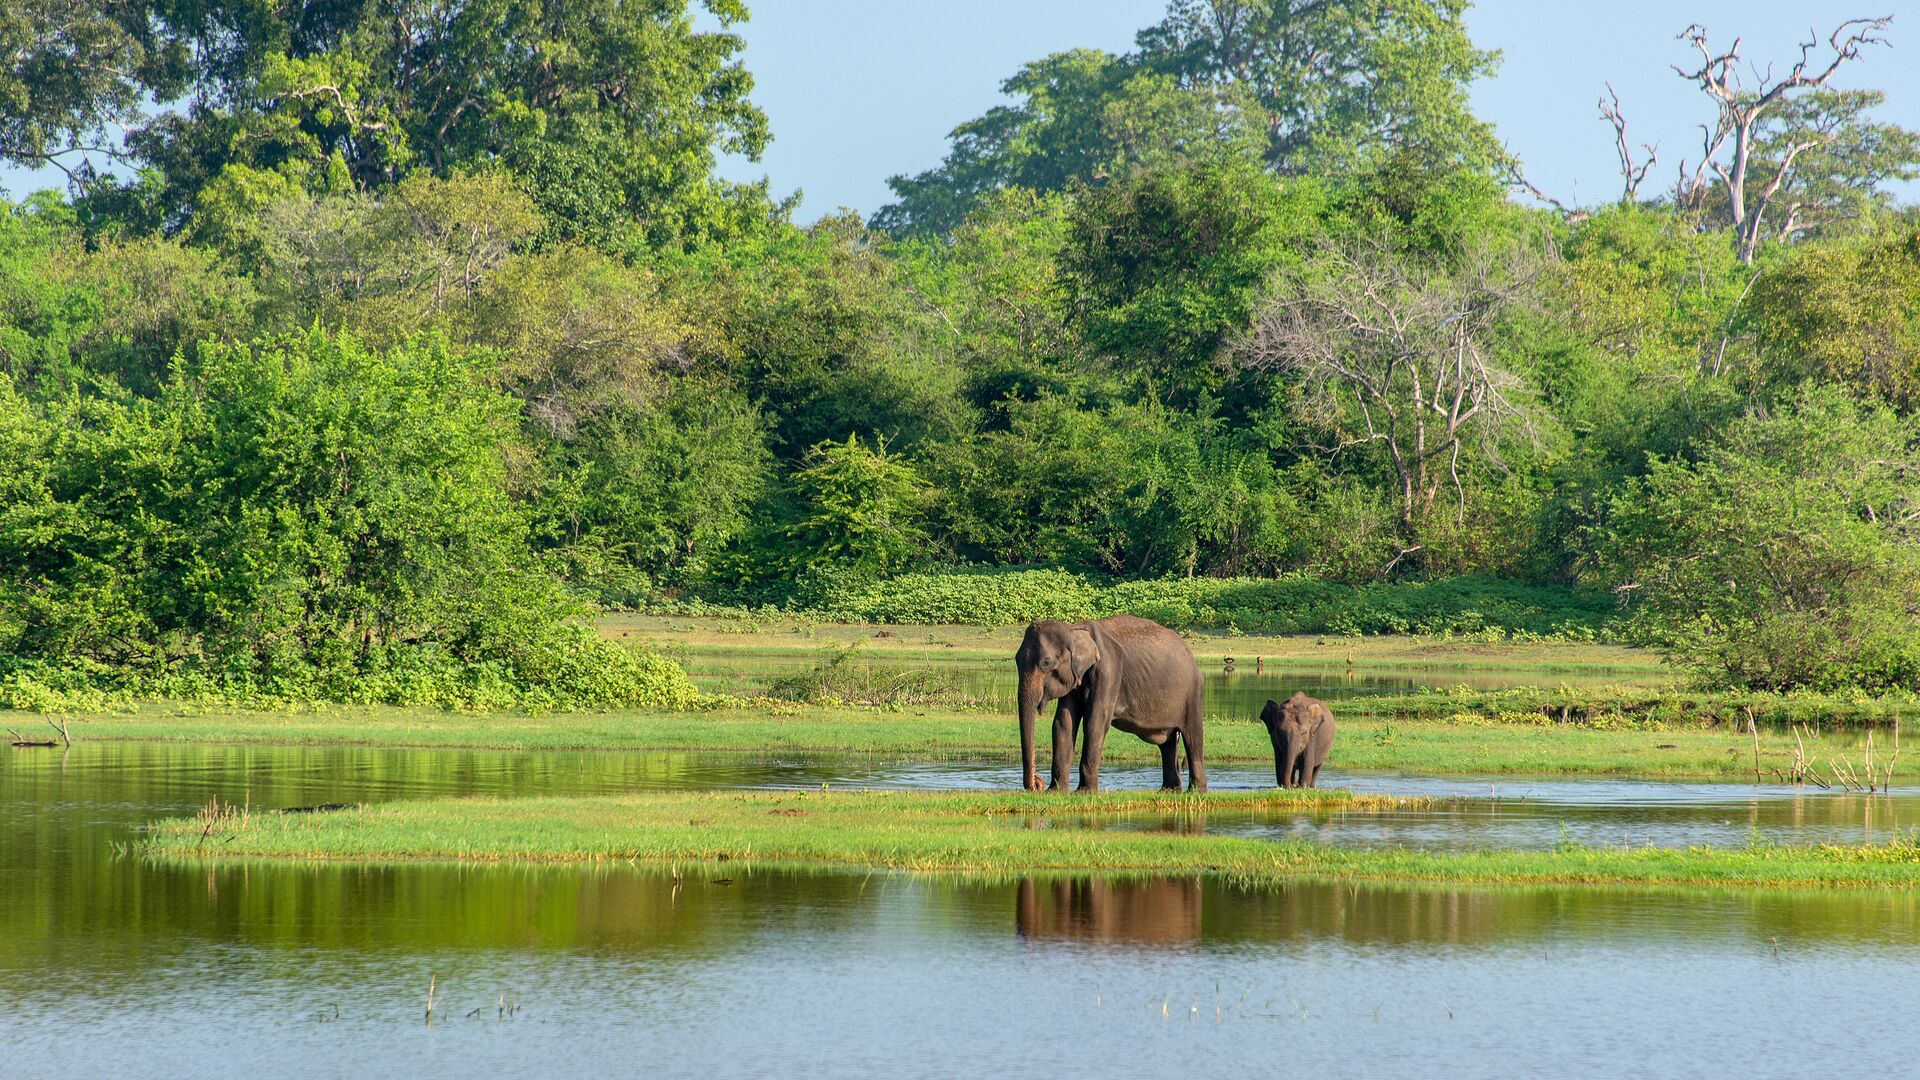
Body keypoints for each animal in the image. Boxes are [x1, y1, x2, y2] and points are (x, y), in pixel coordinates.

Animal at [1014, 615, 1206, 793]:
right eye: (1016, 660)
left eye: (1046, 663)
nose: (1037, 783)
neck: (1074, 629)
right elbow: (1063, 723)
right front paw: (1055, 792)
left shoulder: (1109, 670)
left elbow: (1095, 721)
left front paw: (1084, 792)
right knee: (1167, 744)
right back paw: (1169, 790)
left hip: (1192, 693)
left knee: (1192, 738)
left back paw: (1196, 790)